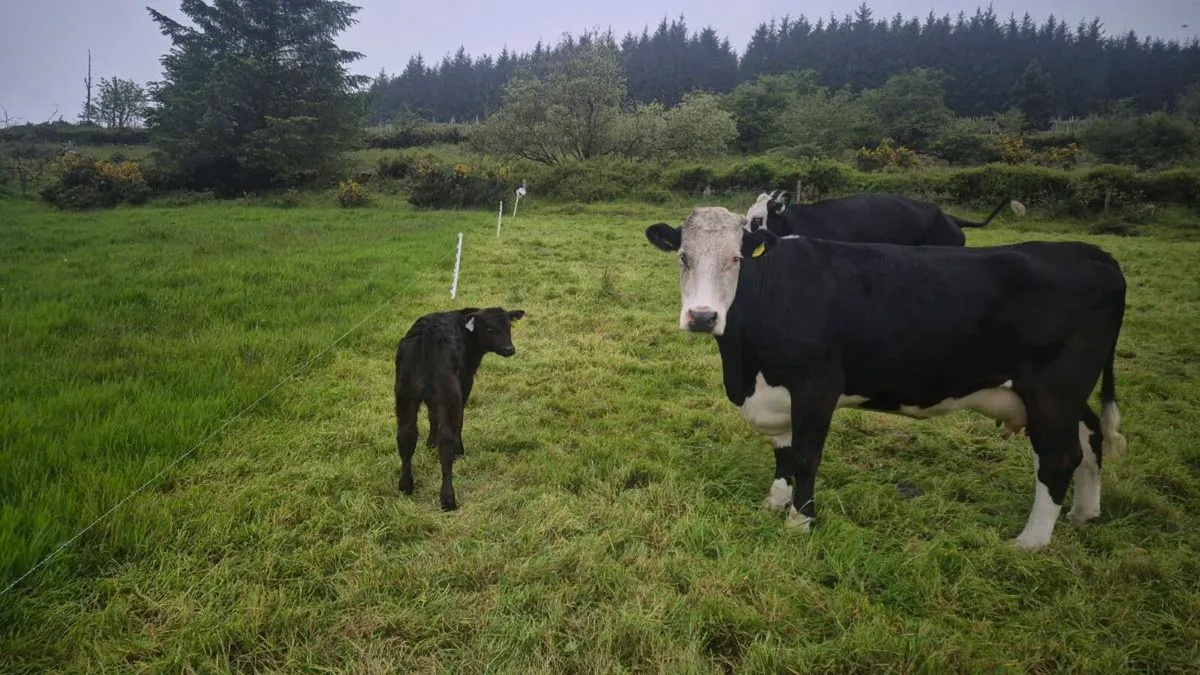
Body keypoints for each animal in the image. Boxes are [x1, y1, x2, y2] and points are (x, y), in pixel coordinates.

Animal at [394, 306, 525, 511]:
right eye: (490, 329)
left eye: (509, 326)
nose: (509, 349)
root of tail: (428, 332)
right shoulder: (465, 383)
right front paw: (459, 450)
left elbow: (432, 416)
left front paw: (430, 444)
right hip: (450, 395)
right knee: (447, 440)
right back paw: (448, 499)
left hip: (405, 394)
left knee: (406, 435)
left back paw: (405, 486)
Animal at [644, 207, 1128, 551]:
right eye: (684, 257)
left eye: (736, 259)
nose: (703, 317)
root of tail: (1089, 252)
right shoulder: (774, 391)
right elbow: (783, 453)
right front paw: (775, 502)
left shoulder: (816, 387)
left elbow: (805, 457)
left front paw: (800, 522)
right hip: (1064, 395)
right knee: (1089, 437)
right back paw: (1084, 513)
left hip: (1053, 389)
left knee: (1059, 457)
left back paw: (1030, 542)